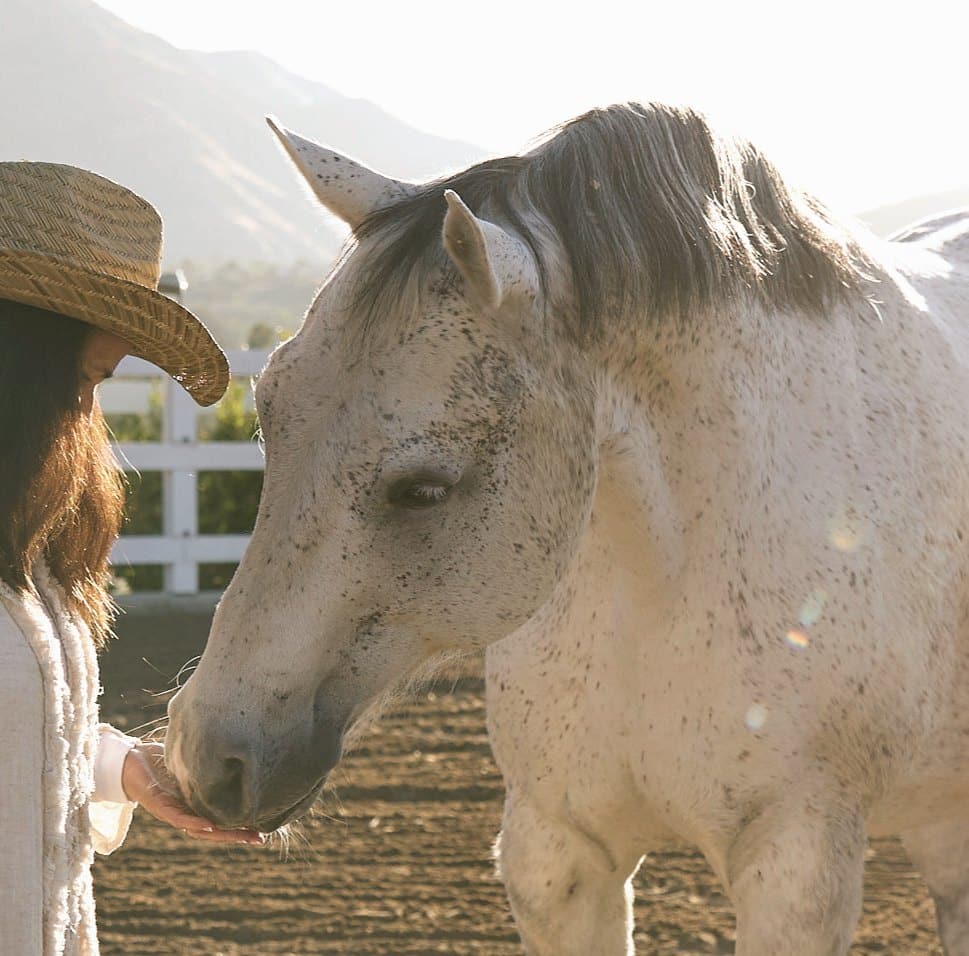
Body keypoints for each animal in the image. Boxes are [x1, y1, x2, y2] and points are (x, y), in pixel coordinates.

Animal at [165, 102, 969, 954]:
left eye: (423, 489)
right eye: (270, 412)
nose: (203, 756)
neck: (661, 581)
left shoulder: (795, 867)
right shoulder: (558, 850)